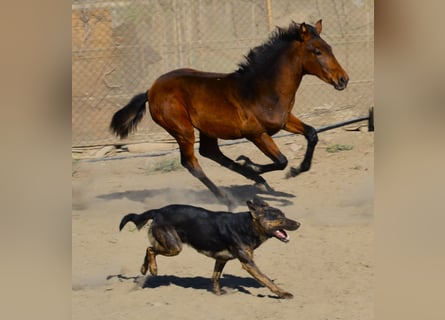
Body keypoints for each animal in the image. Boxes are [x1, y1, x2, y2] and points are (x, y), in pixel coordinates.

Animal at [110, 20, 346, 210]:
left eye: (330, 48)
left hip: (206, 129)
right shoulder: (256, 134)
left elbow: (312, 134)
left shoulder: (285, 121)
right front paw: (254, 165)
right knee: (191, 162)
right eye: (317, 51)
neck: (263, 89)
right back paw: (229, 198)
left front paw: (295, 170)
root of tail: (151, 91)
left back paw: (257, 181)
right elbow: (281, 160)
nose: (343, 79)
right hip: (182, 130)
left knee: (210, 152)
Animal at [118, 198, 300, 298]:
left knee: (149, 248)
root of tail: (158, 211)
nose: (298, 224)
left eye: (284, 215)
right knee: (150, 250)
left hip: (169, 244)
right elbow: (266, 279)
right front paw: (283, 293)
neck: (247, 226)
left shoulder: (221, 259)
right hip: (174, 247)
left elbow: (215, 277)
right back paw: (154, 269)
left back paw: (144, 269)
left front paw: (218, 293)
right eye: (279, 218)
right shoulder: (248, 263)